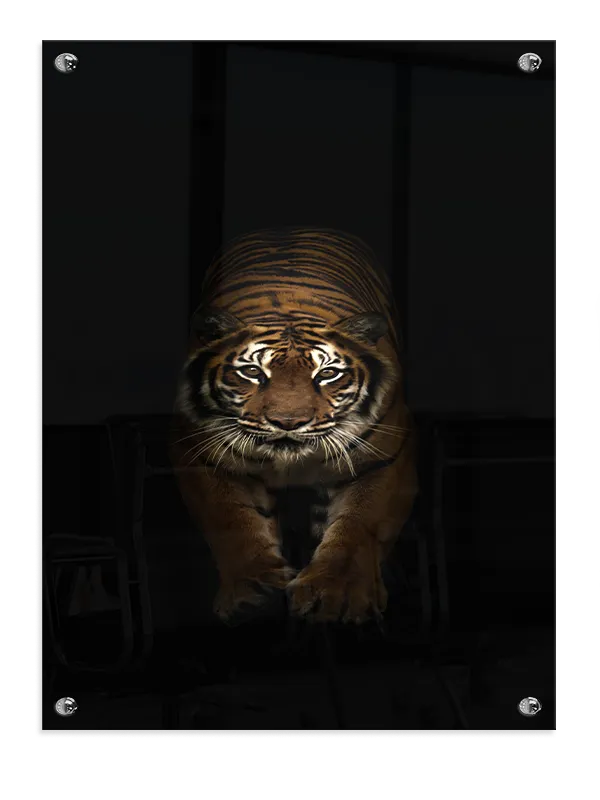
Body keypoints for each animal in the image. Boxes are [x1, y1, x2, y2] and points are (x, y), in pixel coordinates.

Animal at [171, 227, 417, 625]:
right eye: (251, 372)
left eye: (327, 374)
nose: (288, 422)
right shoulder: (199, 452)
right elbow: (231, 519)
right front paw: (253, 592)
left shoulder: (383, 456)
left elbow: (359, 524)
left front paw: (336, 595)